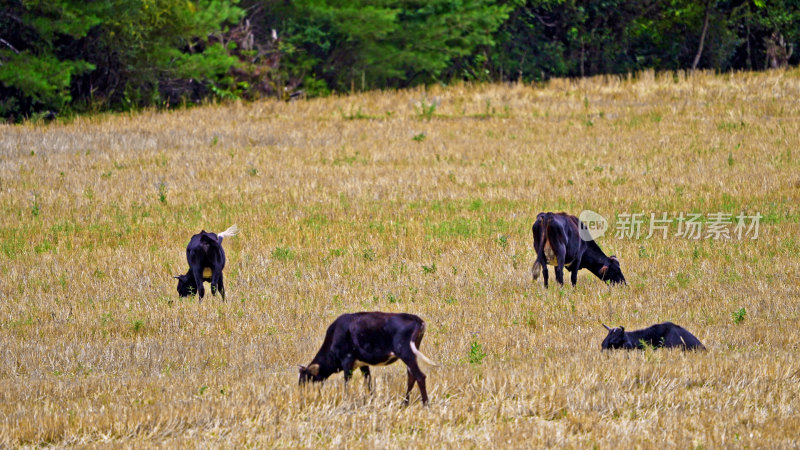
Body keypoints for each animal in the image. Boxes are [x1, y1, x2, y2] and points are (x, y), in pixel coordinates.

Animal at [298, 312, 438, 404]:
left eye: (306, 379)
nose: (302, 397)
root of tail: (416, 319)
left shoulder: (347, 361)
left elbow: (346, 382)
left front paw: (345, 400)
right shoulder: (363, 364)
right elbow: (368, 381)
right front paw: (371, 399)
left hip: (406, 353)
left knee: (420, 376)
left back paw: (425, 404)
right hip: (411, 354)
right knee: (411, 377)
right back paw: (404, 403)